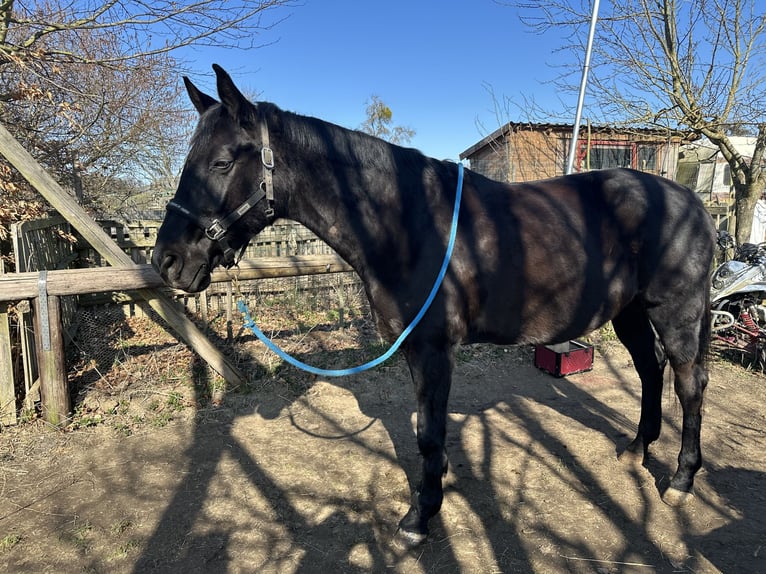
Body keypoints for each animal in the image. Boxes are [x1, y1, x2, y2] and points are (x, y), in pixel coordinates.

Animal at [152, 65, 715, 546]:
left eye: (222, 162)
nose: (168, 260)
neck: (407, 221)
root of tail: (691, 202)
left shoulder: (433, 347)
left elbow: (428, 432)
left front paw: (420, 517)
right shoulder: (414, 348)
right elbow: (429, 430)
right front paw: (434, 488)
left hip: (675, 312)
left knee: (688, 384)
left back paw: (681, 479)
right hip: (631, 312)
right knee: (650, 370)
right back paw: (637, 449)